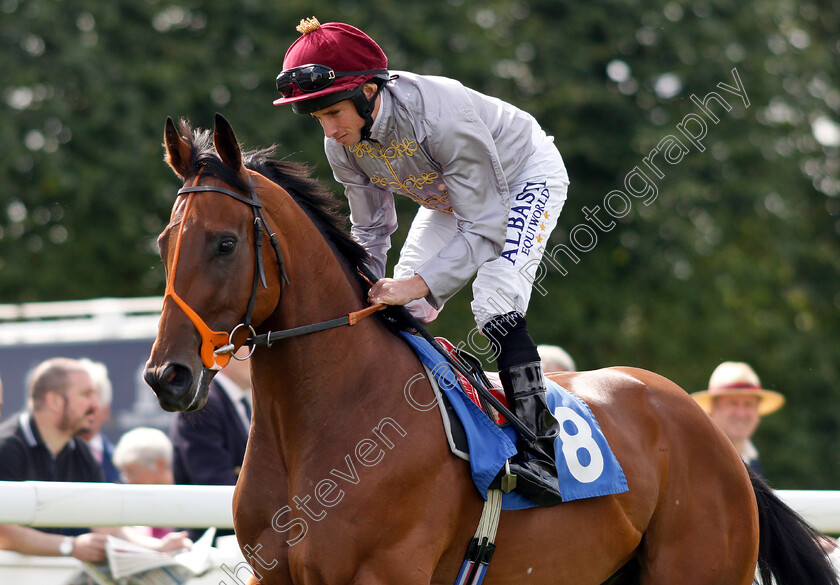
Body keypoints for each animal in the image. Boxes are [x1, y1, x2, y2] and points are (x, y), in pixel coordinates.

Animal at [144, 113, 832, 584]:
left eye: (226, 243)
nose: (166, 376)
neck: (325, 422)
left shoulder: (383, 573)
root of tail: (711, 433)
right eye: (164, 242)